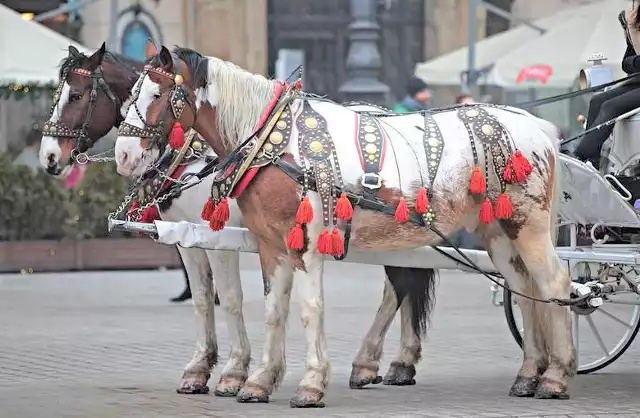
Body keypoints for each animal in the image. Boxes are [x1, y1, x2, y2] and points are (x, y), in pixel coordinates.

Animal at [37, 43, 438, 398]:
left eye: (76, 96)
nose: (49, 158)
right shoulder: (185, 240)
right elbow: (202, 299)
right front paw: (199, 369)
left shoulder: (216, 238)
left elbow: (229, 298)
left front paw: (233, 372)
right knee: (404, 283)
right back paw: (396, 361)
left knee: (399, 285)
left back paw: (373, 361)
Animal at [115, 44, 576, 406]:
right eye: (127, 95)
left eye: (157, 93)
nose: (122, 155)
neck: (274, 143)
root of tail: (539, 127)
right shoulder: (268, 244)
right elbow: (272, 309)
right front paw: (260, 381)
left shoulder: (302, 242)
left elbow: (306, 308)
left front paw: (309, 383)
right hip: (498, 230)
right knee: (522, 288)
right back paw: (528, 373)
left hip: (529, 223)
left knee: (555, 284)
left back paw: (555, 376)